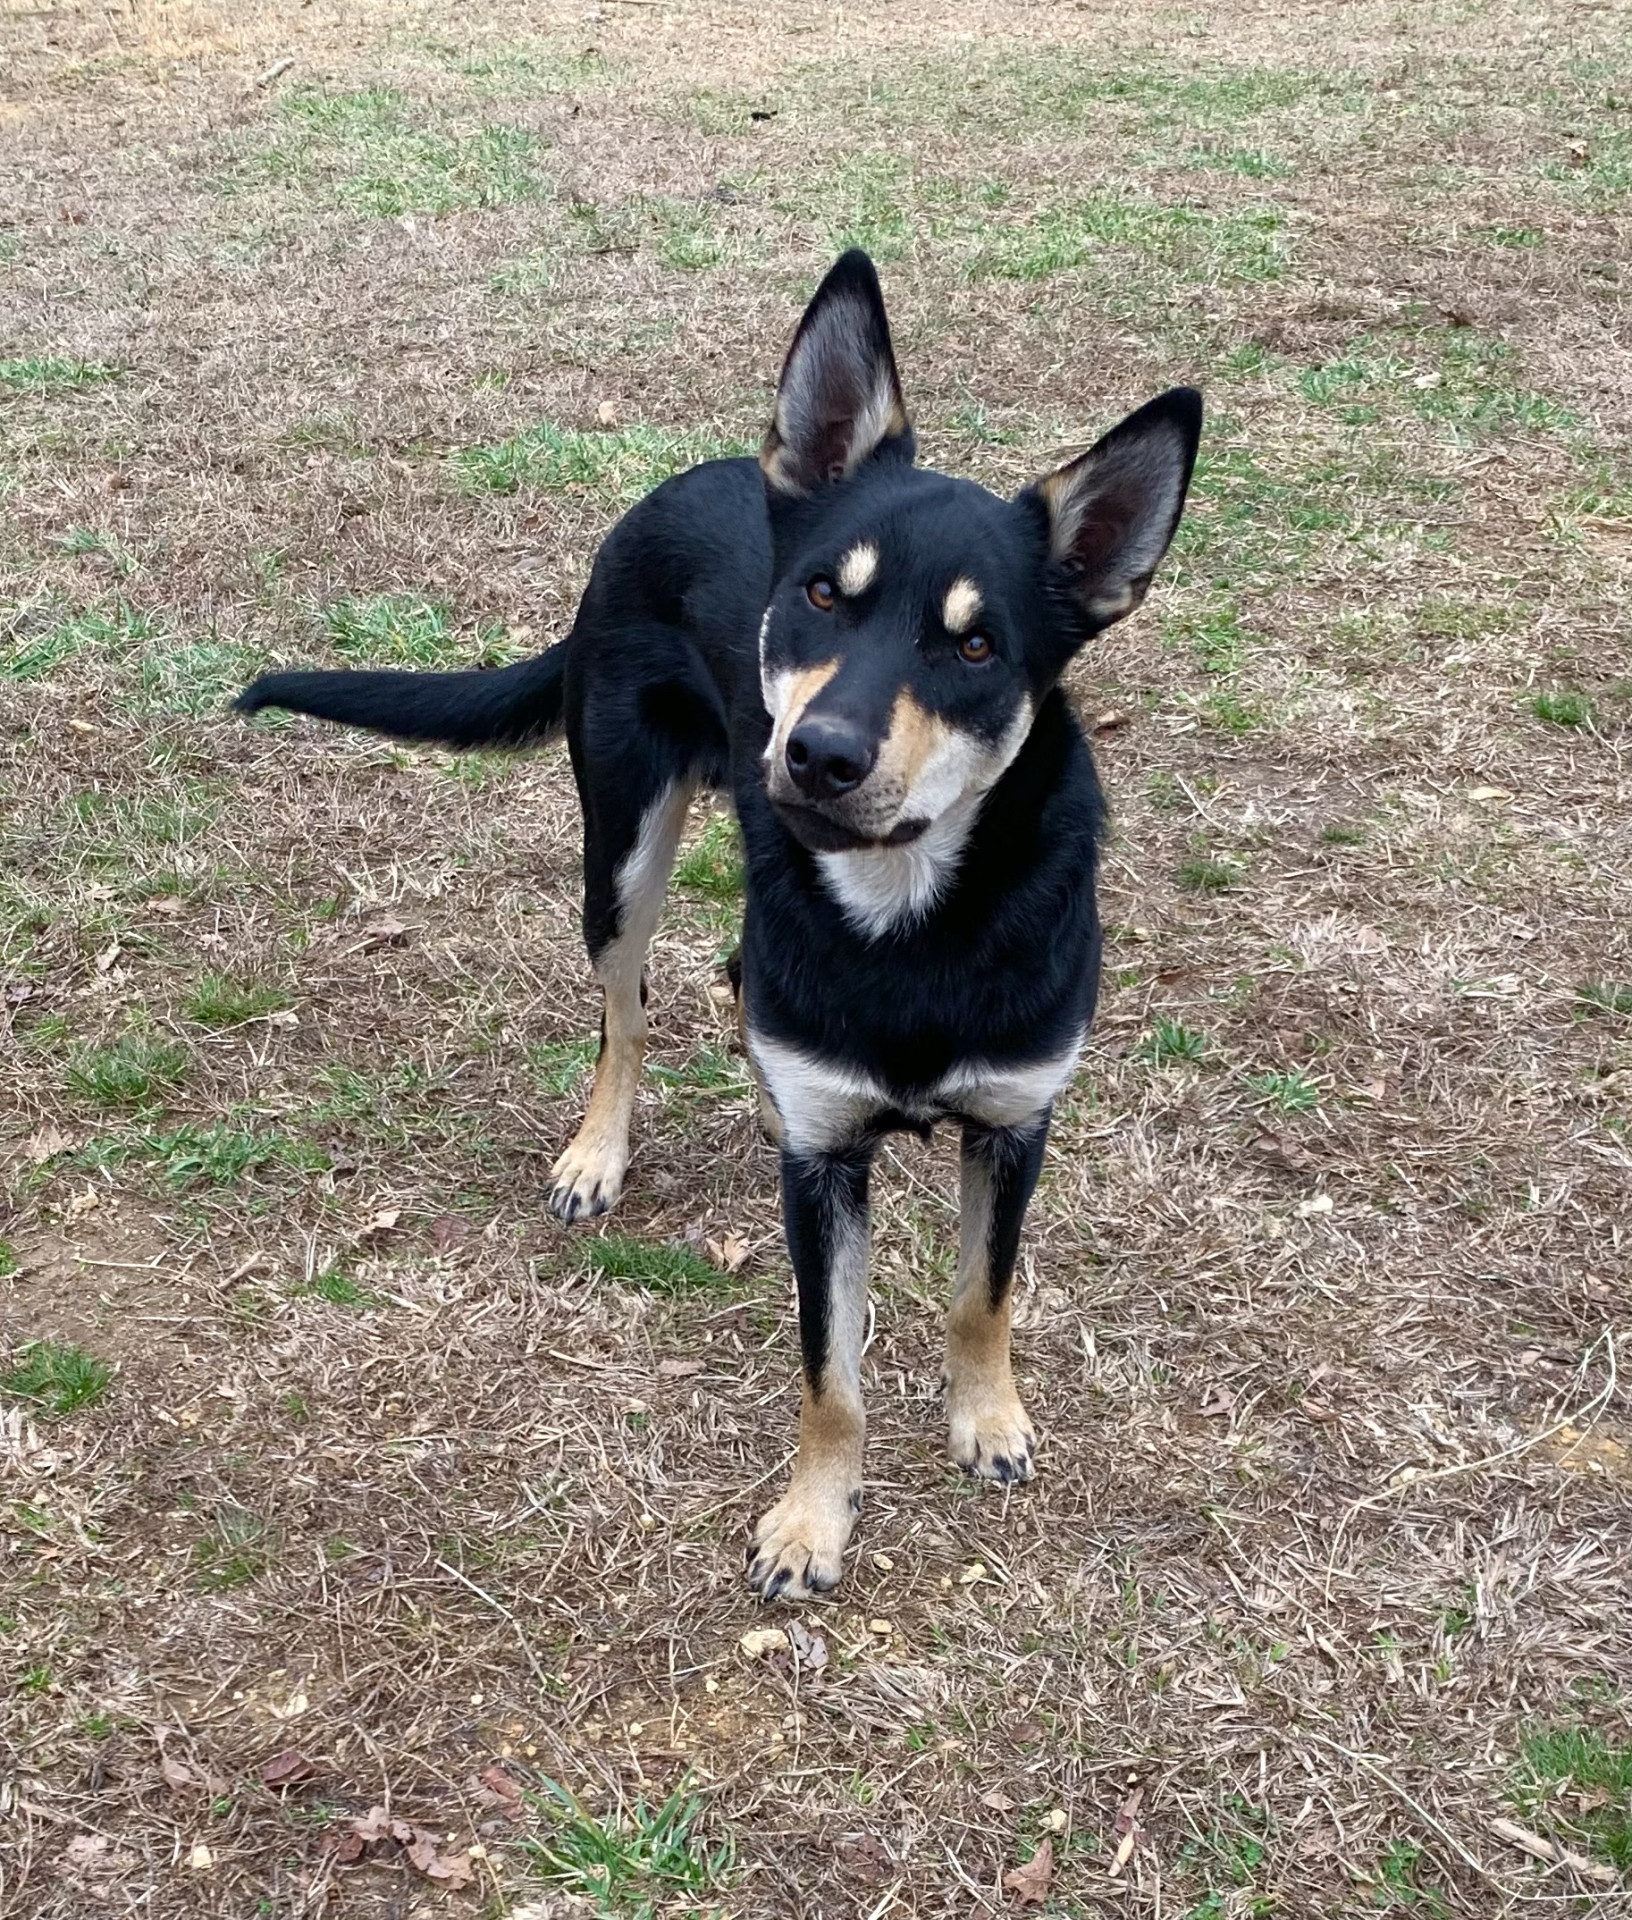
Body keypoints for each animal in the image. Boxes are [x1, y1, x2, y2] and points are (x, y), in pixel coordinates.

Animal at [235, 255, 1198, 1605]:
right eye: (821, 595)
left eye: (975, 644)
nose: (820, 757)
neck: (907, 915)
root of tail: (691, 478)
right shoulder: (828, 1172)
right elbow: (830, 1374)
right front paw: (811, 1522)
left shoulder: (1015, 1123)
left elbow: (981, 1295)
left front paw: (987, 1418)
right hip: (622, 842)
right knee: (625, 1010)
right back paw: (600, 1150)